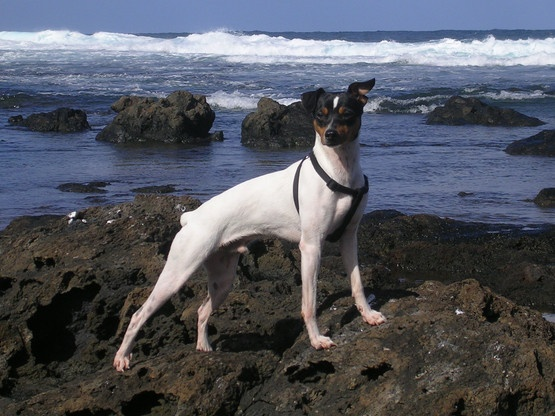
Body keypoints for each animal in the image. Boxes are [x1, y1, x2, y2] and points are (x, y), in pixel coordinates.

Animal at [114, 79, 386, 372]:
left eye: (347, 114)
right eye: (320, 115)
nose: (331, 135)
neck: (339, 171)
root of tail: (192, 217)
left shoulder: (349, 237)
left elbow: (357, 285)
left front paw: (369, 315)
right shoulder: (312, 246)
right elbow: (309, 304)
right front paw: (316, 340)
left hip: (222, 279)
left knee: (201, 310)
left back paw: (204, 346)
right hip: (178, 272)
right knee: (139, 315)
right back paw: (122, 357)